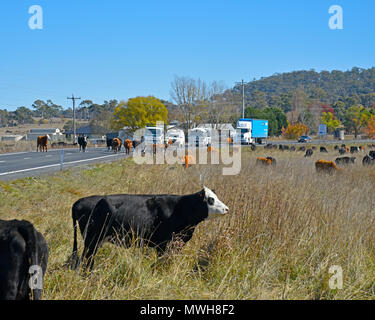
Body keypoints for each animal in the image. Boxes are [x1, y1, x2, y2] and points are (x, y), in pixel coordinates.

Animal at [69, 186, 231, 268]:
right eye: (211, 200)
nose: (227, 209)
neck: (180, 208)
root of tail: (79, 202)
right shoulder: (163, 244)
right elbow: (162, 261)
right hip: (92, 241)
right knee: (87, 259)